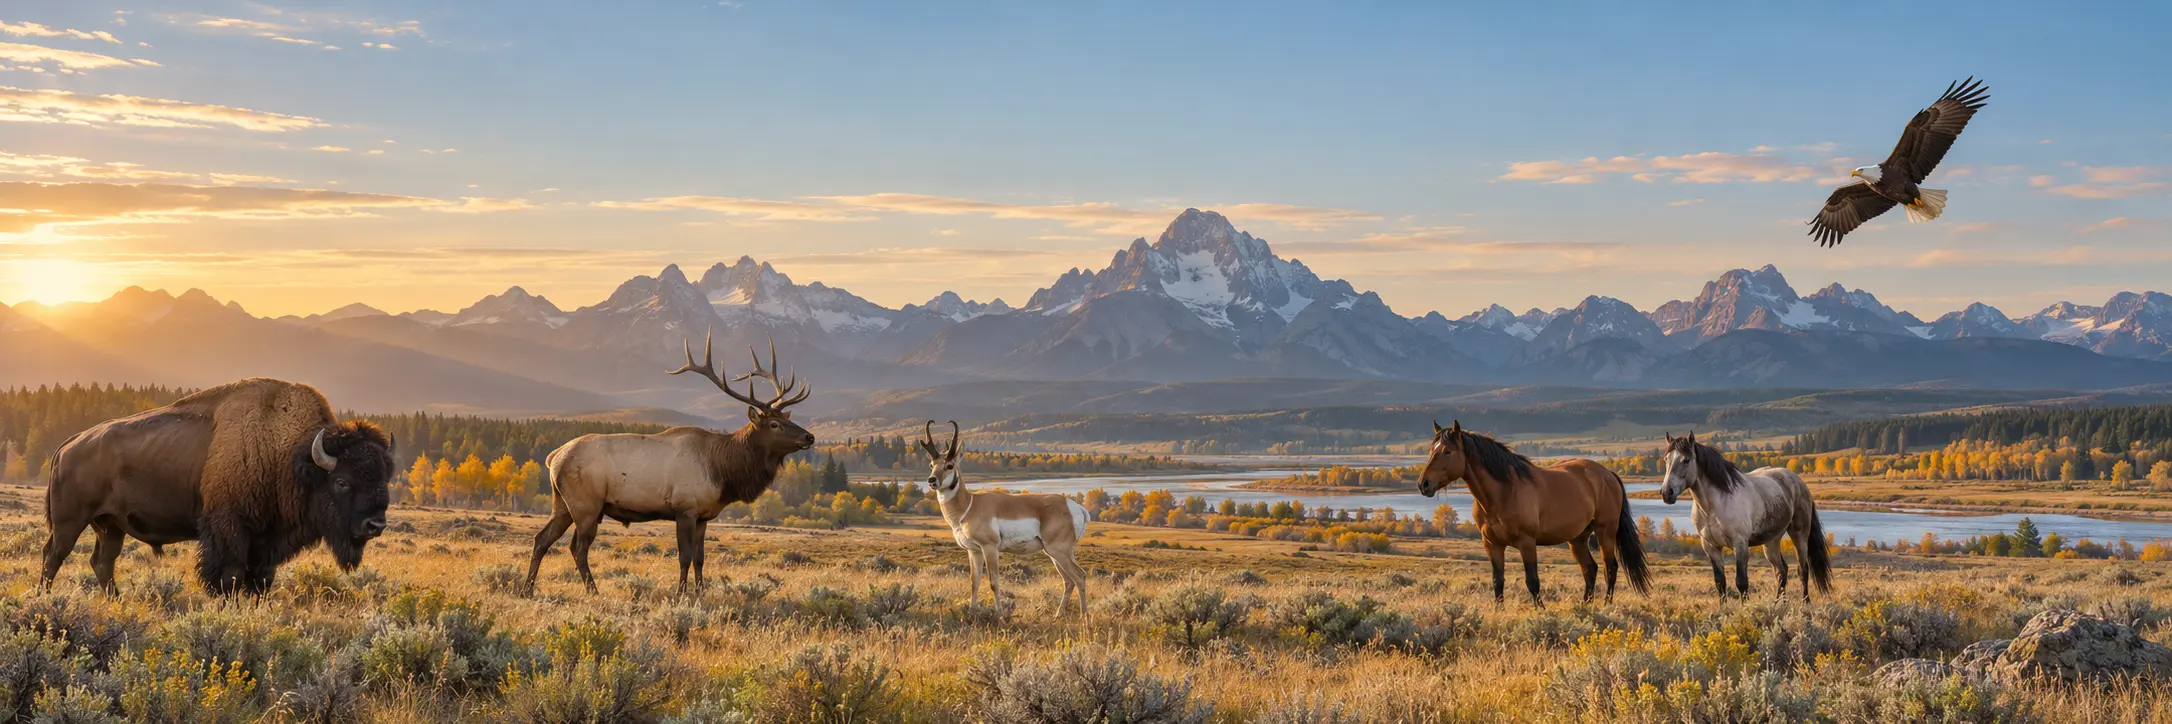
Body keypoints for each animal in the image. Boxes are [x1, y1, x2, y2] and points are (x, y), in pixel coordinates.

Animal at [43, 377, 394, 595]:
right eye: (342, 482)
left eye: (384, 478)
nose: (375, 525)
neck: (287, 454)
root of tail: (69, 444)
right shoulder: (229, 530)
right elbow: (230, 577)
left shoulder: (264, 543)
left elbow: (261, 580)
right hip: (70, 521)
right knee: (53, 556)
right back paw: (44, 598)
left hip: (110, 525)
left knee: (103, 562)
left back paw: (116, 600)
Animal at [526, 332, 815, 594]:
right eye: (774, 424)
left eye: (788, 418)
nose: (809, 437)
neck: (722, 471)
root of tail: (554, 457)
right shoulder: (684, 508)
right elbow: (684, 556)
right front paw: (680, 593)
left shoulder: (703, 515)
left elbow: (700, 558)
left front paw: (700, 592)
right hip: (586, 504)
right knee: (578, 547)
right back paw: (592, 591)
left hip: (563, 503)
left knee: (542, 539)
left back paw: (527, 589)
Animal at [920, 420, 1091, 618]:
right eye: (931, 464)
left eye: (949, 465)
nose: (931, 480)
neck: (970, 505)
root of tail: (1073, 506)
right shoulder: (974, 551)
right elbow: (974, 582)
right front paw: (971, 612)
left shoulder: (990, 548)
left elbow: (994, 582)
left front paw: (1000, 615)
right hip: (1056, 553)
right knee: (1069, 580)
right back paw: (1057, 616)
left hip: (1058, 551)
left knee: (1079, 576)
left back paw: (1084, 618)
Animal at [1419, 420, 1650, 605]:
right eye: (1431, 450)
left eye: (1447, 451)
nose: (1423, 484)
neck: (1503, 492)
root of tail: (1608, 473)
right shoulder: (1492, 544)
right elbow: (1497, 581)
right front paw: (1499, 610)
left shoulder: (1527, 542)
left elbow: (1532, 581)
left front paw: (1540, 610)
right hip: (1577, 538)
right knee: (1590, 569)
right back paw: (1586, 605)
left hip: (1605, 532)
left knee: (1610, 568)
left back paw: (1606, 605)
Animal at [1658, 433, 1832, 601]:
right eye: (1666, 459)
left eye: (1686, 460)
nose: (1666, 493)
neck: (1714, 505)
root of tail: (1799, 482)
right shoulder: (1710, 546)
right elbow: (1720, 583)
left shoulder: (1740, 544)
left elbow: (1741, 582)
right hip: (1771, 541)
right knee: (1781, 570)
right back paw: (1778, 604)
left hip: (1799, 535)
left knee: (1803, 569)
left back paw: (1805, 603)